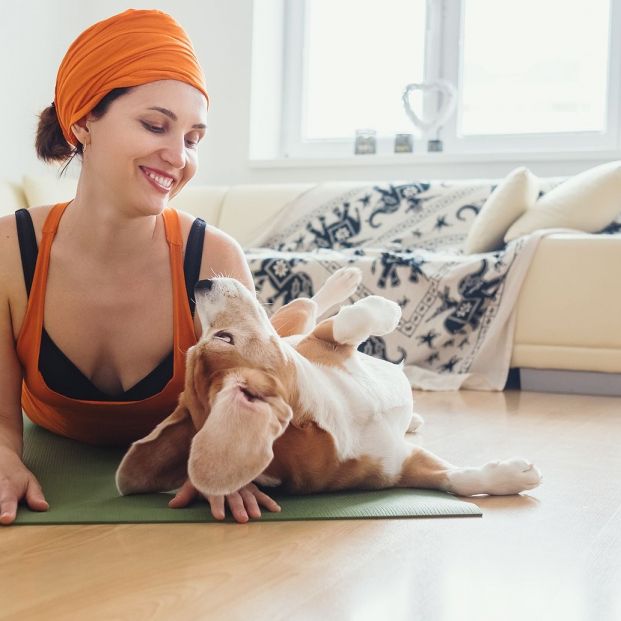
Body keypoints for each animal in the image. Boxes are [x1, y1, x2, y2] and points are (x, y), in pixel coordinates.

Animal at [117, 268, 544, 502]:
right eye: (224, 337)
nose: (201, 283)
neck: (337, 414)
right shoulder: (400, 467)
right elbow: (456, 482)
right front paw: (518, 475)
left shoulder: (317, 342)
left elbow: (346, 323)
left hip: (295, 323)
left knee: (309, 302)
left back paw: (345, 278)